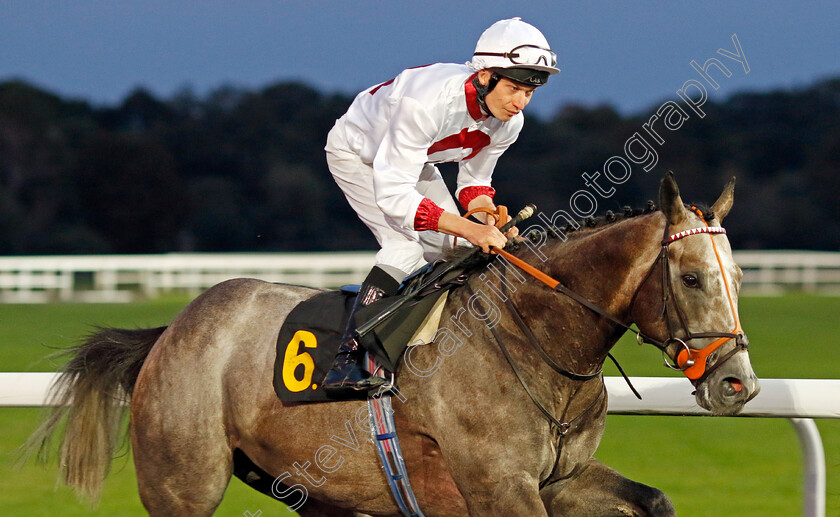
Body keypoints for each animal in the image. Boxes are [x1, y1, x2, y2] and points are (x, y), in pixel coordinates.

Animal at [27, 172, 760, 512]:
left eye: (740, 275)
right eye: (691, 276)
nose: (738, 383)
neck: (538, 339)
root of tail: (171, 331)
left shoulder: (559, 477)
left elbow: (655, 500)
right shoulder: (500, 486)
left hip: (311, 486)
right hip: (183, 481)